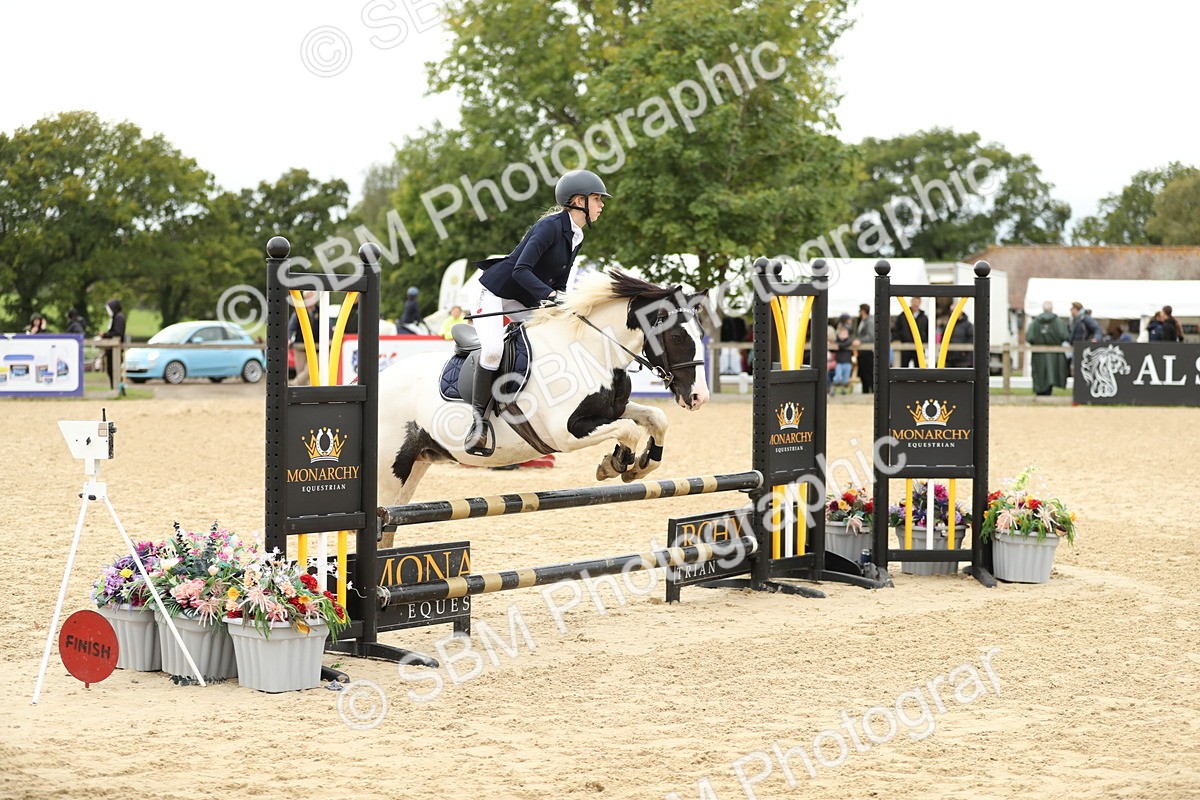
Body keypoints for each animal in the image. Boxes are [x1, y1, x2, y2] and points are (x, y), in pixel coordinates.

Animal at [376, 270, 711, 545]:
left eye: (701, 333)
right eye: (677, 336)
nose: (699, 397)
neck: (589, 350)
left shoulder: (613, 410)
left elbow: (656, 418)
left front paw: (640, 464)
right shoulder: (566, 432)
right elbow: (628, 430)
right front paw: (615, 463)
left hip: (415, 465)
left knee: (390, 527)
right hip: (391, 470)